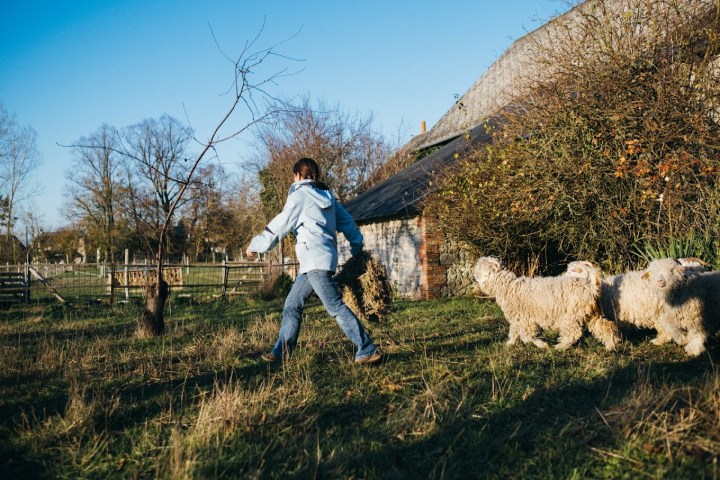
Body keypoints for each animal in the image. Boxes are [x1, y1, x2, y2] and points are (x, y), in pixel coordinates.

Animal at [473, 256, 619, 351]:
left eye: (479, 268)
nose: (473, 277)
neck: (509, 287)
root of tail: (591, 287)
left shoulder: (525, 318)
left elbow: (527, 336)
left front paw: (542, 345)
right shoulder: (518, 318)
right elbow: (514, 332)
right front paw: (510, 344)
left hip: (571, 315)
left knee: (574, 333)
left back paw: (560, 347)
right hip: (591, 314)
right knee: (605, 326)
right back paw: (611, 346)